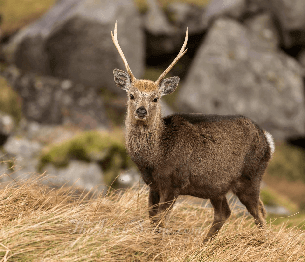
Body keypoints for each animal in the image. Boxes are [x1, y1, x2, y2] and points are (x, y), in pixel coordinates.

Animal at [111, 22, 274, 242]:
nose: (141, 111)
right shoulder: (153, 184)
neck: (155, 157)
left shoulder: (174, 182)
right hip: (217, 186)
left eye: (155, 98)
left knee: (259, 213)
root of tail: (268, 140)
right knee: (225, 213)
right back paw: (205, 243)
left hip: (251, 177)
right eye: (131, 95)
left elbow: (160, 220)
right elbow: (152, 218)